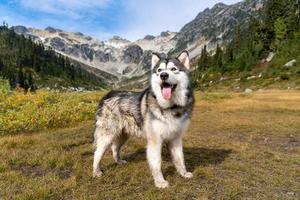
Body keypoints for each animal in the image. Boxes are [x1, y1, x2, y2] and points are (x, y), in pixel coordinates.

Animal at [92, 50, 195, 188]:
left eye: (173, 69)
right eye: (159, 70)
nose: (163, 75)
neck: (171, 107)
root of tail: (108, 94)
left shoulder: (176, 138)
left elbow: (180, 159)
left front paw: (183, 173)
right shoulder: (155, 140)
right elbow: (157, 164)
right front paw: (160, 181)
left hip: (123, 134)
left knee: (115, 148)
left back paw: (119, 161)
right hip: (107, 135)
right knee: (97, 153)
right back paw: (96, 171)